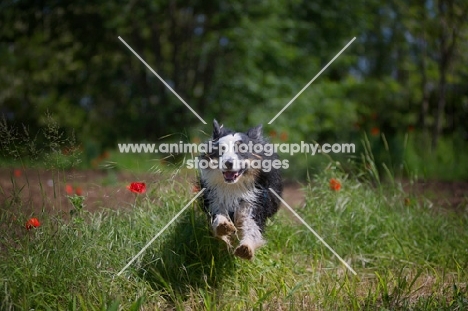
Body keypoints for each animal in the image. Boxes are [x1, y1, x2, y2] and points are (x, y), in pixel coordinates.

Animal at [197, 120, 282, 260]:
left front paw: (245, 248)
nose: (228, 163)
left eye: (241, 150)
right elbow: (218, 215)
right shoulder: (215, 198)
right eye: (221, 150)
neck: (234, 186)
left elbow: (251, 226)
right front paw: (223, 226)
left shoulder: (254, 203)